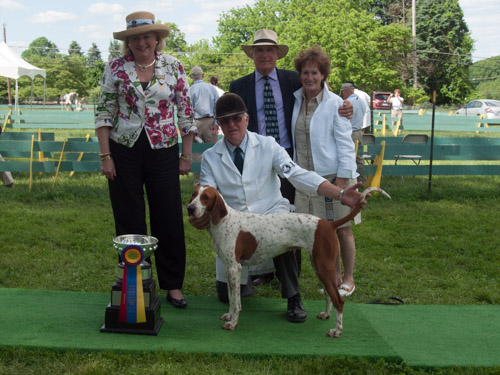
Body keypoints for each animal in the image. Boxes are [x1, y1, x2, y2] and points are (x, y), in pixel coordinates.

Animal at [188, 185, 390, 338]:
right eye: (193, 194)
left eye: (205, 197)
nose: (190, 208)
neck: (224, 220)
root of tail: (328, 223)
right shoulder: (231, 270)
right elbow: (231, 299)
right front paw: (229, 316)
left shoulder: (234, 268)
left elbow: (236, 301)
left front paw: (233, 323)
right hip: (319, 265)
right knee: (328, 294)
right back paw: (326, 314)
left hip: (323, 266)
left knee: (338, 299)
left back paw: (337, 331)